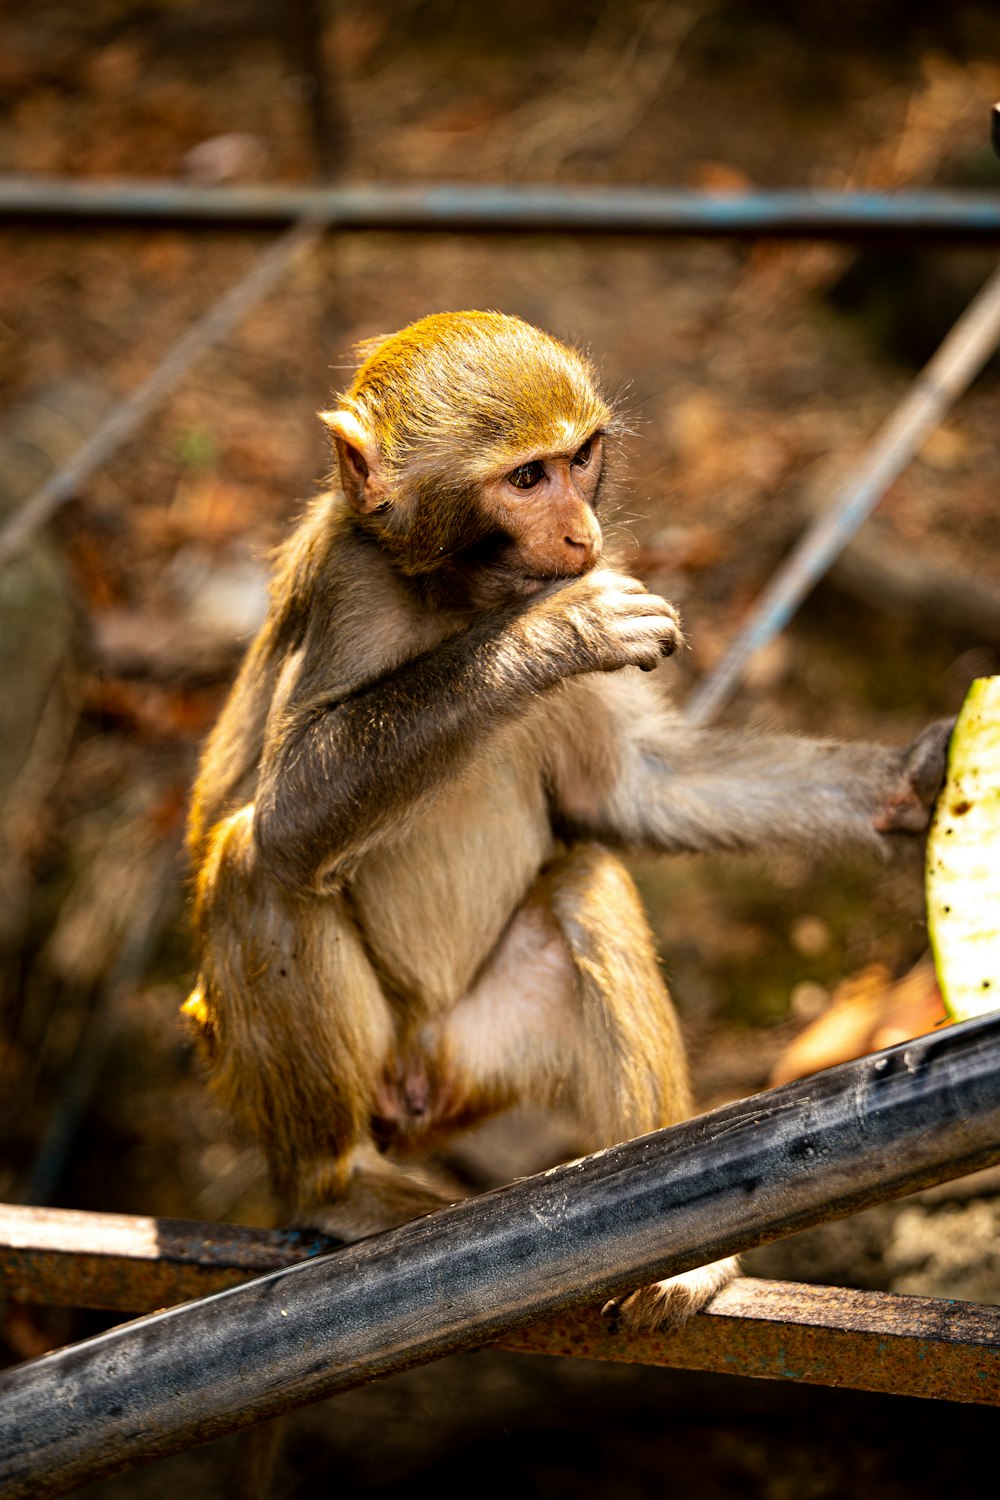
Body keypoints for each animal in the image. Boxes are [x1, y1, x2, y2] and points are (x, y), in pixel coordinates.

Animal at [185, 310, 947, 1332]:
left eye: (581, 460)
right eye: (524, 479)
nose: (582, 532)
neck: (458, 597)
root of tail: (420, 1083)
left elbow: (631, 789)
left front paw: (913, 787)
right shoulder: (350, 582)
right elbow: (289, 817)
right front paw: (556, 634)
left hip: (485, 1053)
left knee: (586, 883)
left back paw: (683, 1257)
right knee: (252, 861)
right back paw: (335, 1188)